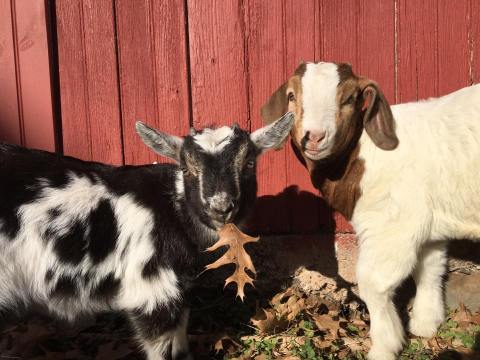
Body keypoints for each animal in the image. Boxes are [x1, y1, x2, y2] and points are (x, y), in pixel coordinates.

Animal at [0, 111, 294, 358]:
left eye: (249, 163)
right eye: (186, 168)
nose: (220, 208)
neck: (172, 208)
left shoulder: (179, 289)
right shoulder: (151, 288)